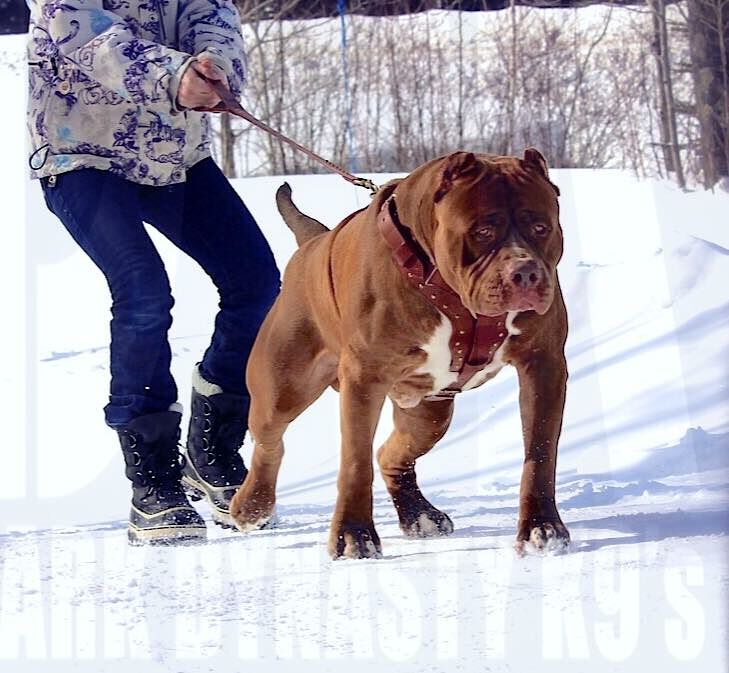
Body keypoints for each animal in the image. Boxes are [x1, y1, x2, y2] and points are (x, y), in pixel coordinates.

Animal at [230, 150, 572, 560]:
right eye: (482, 231)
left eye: (541, 227)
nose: (525, 273)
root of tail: (315, 241)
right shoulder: (364, 377)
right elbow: (355, 460)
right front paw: (354, 535)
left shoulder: (543, 363)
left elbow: (540, 451)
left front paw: (542, 528)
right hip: (282, 387)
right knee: (270, 442)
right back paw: (252, 505)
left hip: (430, 412)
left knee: (391, 453)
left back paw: (419, 513)